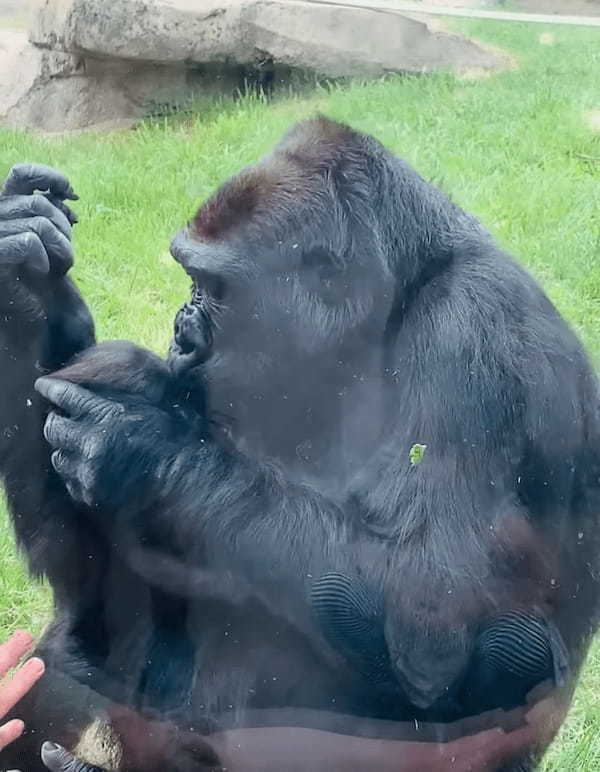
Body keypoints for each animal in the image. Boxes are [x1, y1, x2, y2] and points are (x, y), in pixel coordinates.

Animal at [1, 116, 600, 772]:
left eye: (211, 286)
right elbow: (89, 582)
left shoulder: (475, 339)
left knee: (510, 648)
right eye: (191, 279)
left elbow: (434, 606)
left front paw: (141, 442)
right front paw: (26, 271)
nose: (180, 332)